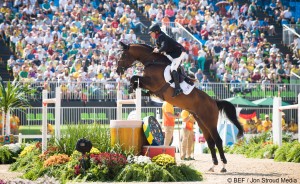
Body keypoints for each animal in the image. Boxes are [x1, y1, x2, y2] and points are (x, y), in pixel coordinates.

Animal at [115, 42, 244, 172]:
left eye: (123, 54)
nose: (117, 70)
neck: (152, 61)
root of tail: (214, 102)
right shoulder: (150, 86)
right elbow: (136, 80)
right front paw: (133, 89)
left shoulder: (153, 83)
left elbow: (134, 77)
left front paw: (131, 88)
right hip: (201, 121)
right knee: (210, 141)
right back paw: (213, 166)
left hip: (210, 122)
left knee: (218, 140)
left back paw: (223, 166)